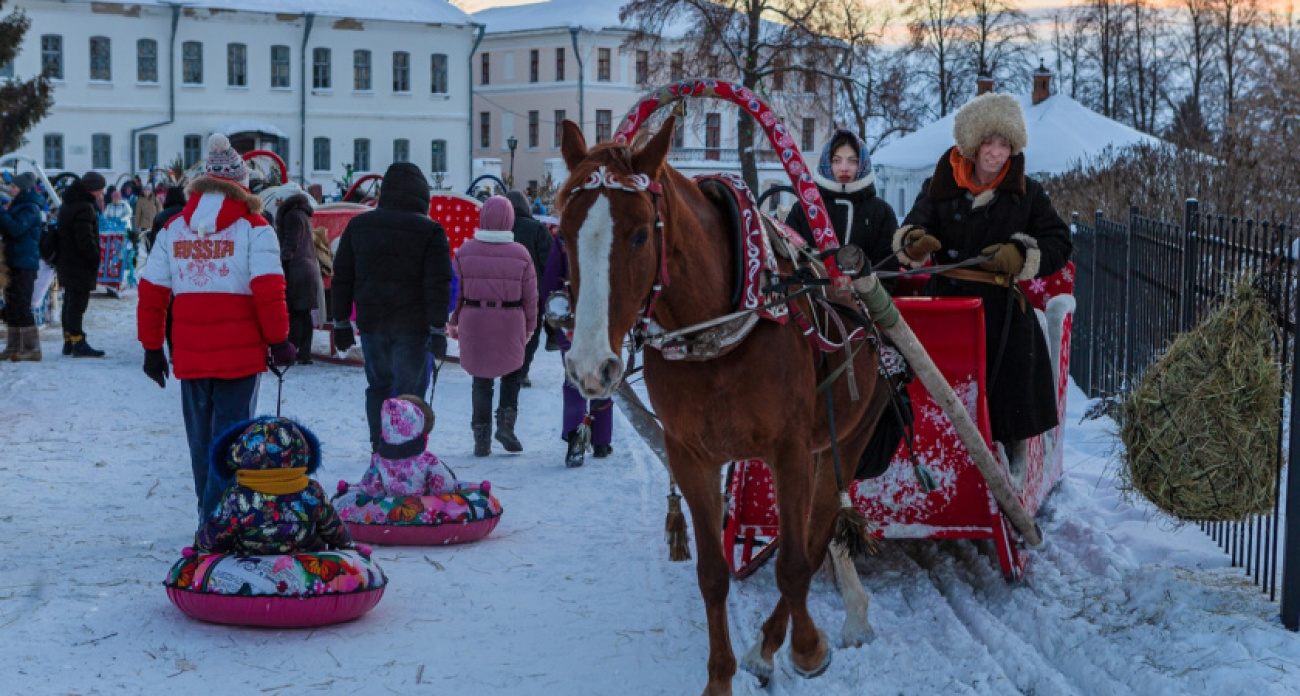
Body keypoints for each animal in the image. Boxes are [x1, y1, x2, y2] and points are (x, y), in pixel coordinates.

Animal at [559, 117, 894, 692]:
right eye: (562, 233)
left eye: (640, 232)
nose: (588, 365)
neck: (718, 327)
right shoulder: (690, 454)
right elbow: (713, 574)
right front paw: (721, 676)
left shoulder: (787, 449)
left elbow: (792, 563)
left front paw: (806, 647)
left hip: (844, 440)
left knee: (815, 535)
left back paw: (795, 636)